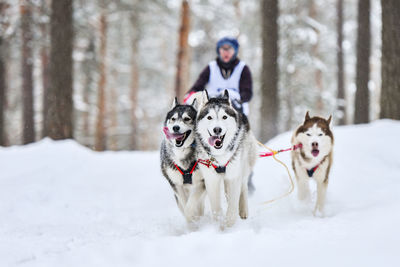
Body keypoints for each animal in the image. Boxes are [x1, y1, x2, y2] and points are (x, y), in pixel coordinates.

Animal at [196, 90, 258, 228]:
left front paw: (229, 226)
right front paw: (219, 224)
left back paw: (243, 210)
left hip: (244, 166)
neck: (220, 156)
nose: (217, 129)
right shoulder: (211, 179)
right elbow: (216, 208)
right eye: (209, 117)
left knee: (243, 186)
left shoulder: (233, 176)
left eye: (224, 117)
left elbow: (232, 208)